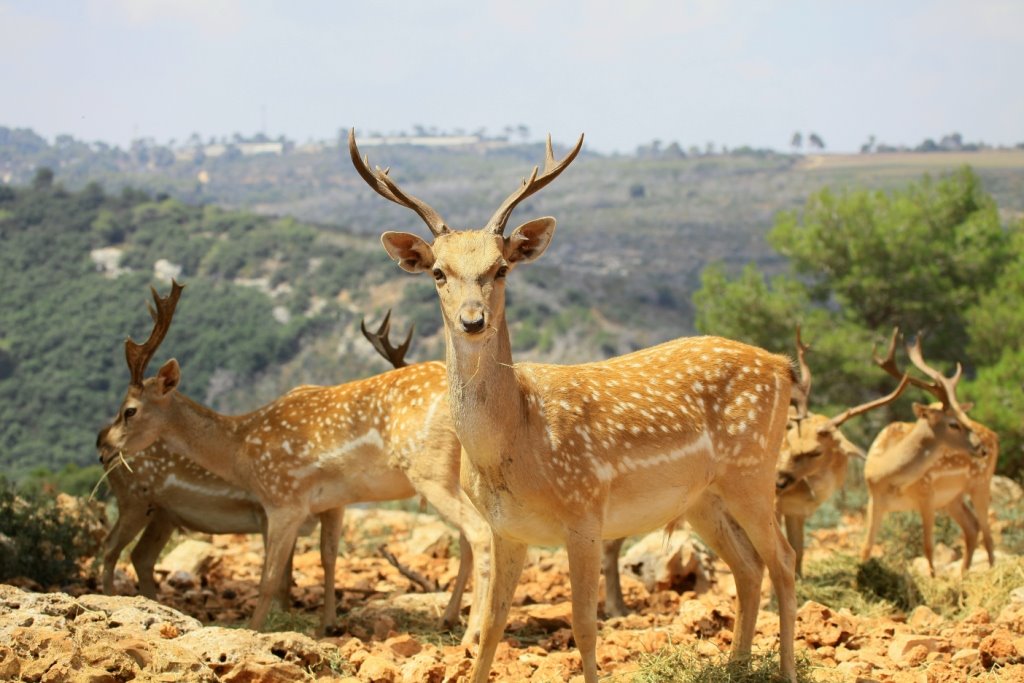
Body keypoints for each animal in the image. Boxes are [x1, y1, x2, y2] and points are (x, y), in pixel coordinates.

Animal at [98, 284, 491, 643]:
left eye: (129, 410)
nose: (102, 448)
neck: (241, 447)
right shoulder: (328, 502)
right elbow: (324, 558)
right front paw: (325, 626)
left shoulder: (282, 499)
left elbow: (270, 577)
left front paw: (253, 631)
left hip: (430, 470)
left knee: (478, 534)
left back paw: (470, 634)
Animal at [352, 129, 798, 683]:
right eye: (438, 271)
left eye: (501, 268)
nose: (472, 320)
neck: (515, 445)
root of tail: (782, 365)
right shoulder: (506, 529)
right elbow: (492, 627)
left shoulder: (585, 510)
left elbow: (585, 624)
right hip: (703, 498)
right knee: (748, 567)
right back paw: (736, 665)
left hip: (753, 470)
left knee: (784, 562)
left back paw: (787, 670)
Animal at [860, 327, 995, 573]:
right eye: (953, 423)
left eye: (963, 416)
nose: (981, 448)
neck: (884, 474)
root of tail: (995, 436)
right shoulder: (874, 501)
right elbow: (866, 547)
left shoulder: (927, 495)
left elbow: (928, 548)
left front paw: (932, 578)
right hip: (953, 498)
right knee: (972, 527)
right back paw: (963, 575)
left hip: (981, 482)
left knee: (988, 534)